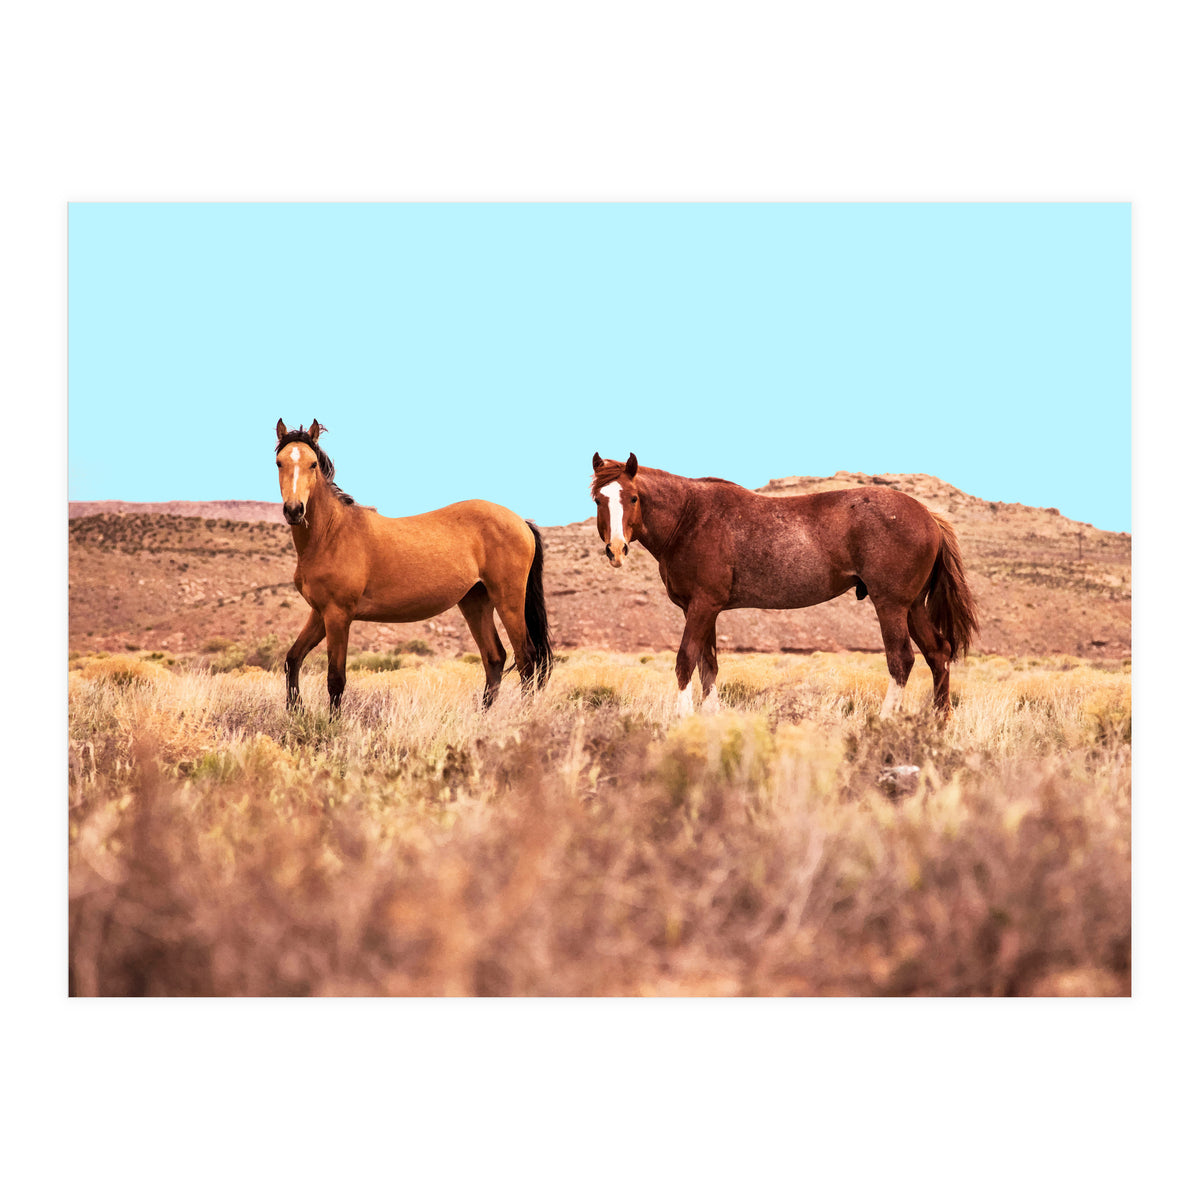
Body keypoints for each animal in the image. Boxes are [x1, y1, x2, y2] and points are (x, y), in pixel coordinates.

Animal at [273, 420, 552, 713]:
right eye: (279, 462)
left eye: (313, 463)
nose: (294, 510)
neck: (331, 534)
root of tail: (521, 522)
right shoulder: (320, 613)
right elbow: (292, 659)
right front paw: (295, 710)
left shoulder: (338, 615)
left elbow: (335, 679)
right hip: (475, 601)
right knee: (495, 657)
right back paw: (483, 717)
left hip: (508, 600)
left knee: (527, 659)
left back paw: (523, 715)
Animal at [590, 453, 979, 718]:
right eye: (598, 499)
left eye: (633, 498)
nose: (616, 549)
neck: (690, 518)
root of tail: (928, 516)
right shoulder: (705, 610)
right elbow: (708, 666)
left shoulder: (702, 606)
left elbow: (685, 660)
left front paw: (683, 719)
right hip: (912, 607)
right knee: (938, 654)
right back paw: (938, 723)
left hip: (891, 606)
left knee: (902, 660)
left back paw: (885, 721)